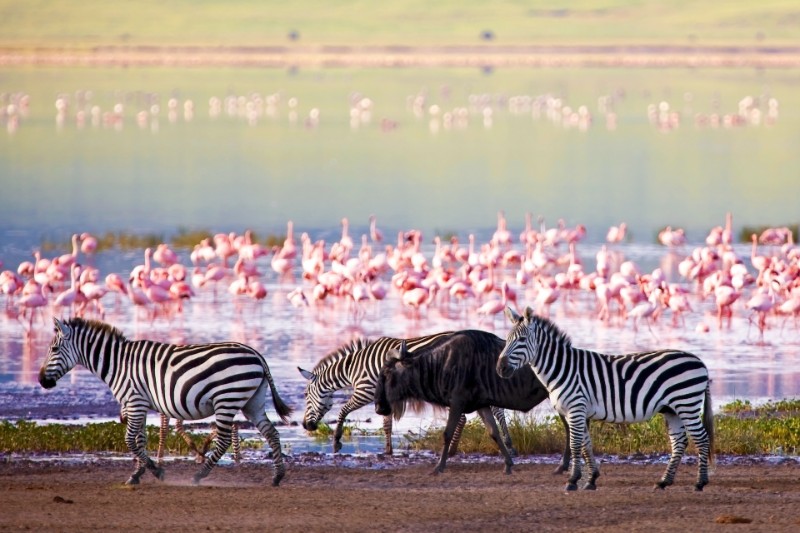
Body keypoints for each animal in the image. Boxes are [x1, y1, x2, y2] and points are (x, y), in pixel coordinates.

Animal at [38, 316, 294, 486]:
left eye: (54, 349)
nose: (41, 380)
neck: (118, 364)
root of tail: (256, 354)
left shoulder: (135, 401)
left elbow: (130, 440)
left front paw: (155, 471)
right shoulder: (138, 404)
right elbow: (140, 439)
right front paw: (137, 474)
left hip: (226, 399)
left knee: (223, 440)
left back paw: (199, 475)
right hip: (252, 401)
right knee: (271, 432)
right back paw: (277, 476)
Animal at [296, 332, 516, 454]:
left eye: (306, 396)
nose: (305, 425)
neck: (353, 368)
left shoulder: (365, 391)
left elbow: (343, 411)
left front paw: (336, 442)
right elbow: (387, 425)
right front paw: (388, 451)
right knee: (495, 410)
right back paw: (507, 444)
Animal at [496, 306, 716, 492]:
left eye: (522, 340)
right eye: (507, 339)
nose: (500, 368)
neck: (562, 368)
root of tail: (700, 361)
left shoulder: (576, 408)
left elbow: (575, 445)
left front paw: (572, 481)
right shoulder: (578, 411)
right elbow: (586, 445)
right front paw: (591, 480)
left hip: (686, 403)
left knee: (702, 439)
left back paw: (700, 482)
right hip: (672, 409)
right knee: (679, 442)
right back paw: (663, 482)